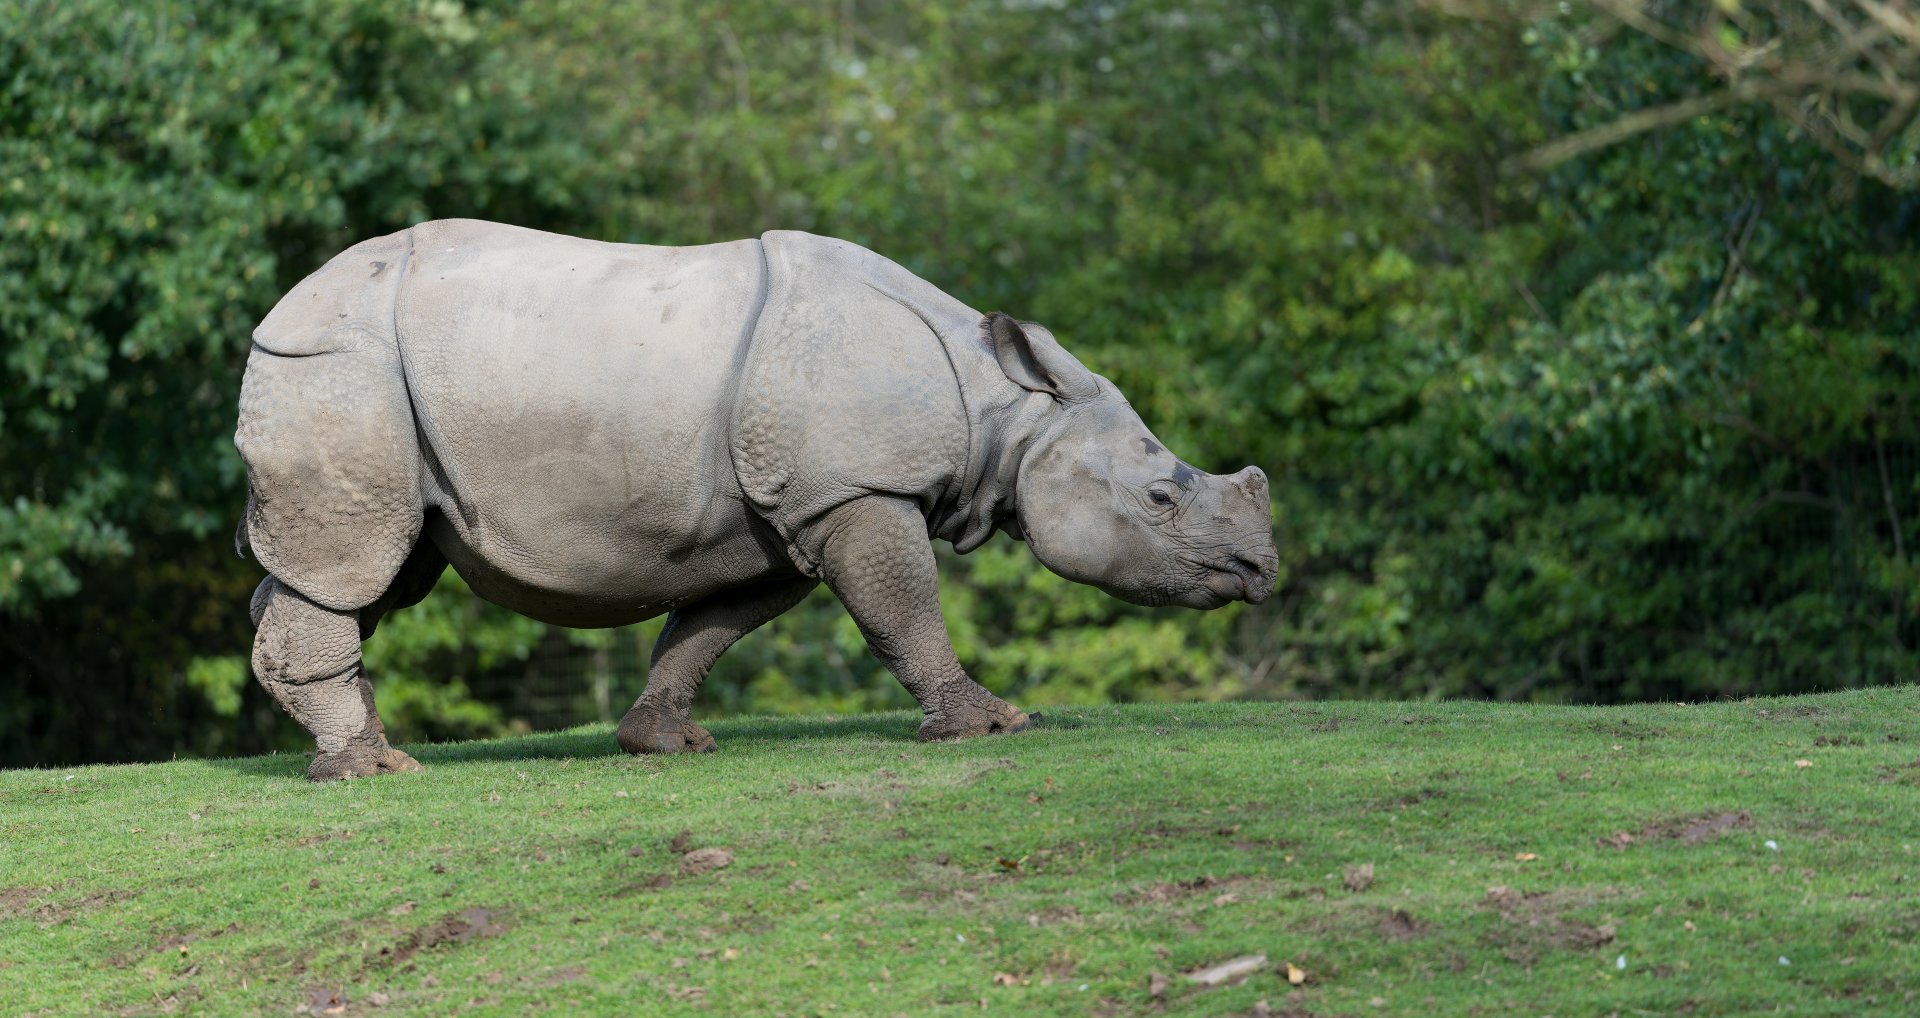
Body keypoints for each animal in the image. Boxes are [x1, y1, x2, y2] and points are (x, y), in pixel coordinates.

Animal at [236, 220, 1278, 780]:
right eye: (1161, 497)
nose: (1261, 569)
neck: (1001, 411)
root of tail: (279, 306)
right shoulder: (856, 488)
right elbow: (903, 607)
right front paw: (989, 724)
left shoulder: (788, 516)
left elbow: (710, 624)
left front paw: (663, 741)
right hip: (341, 365)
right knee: (356, 559)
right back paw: (369, 771)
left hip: (368, 378)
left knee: (378, 568)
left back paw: (362, 753)